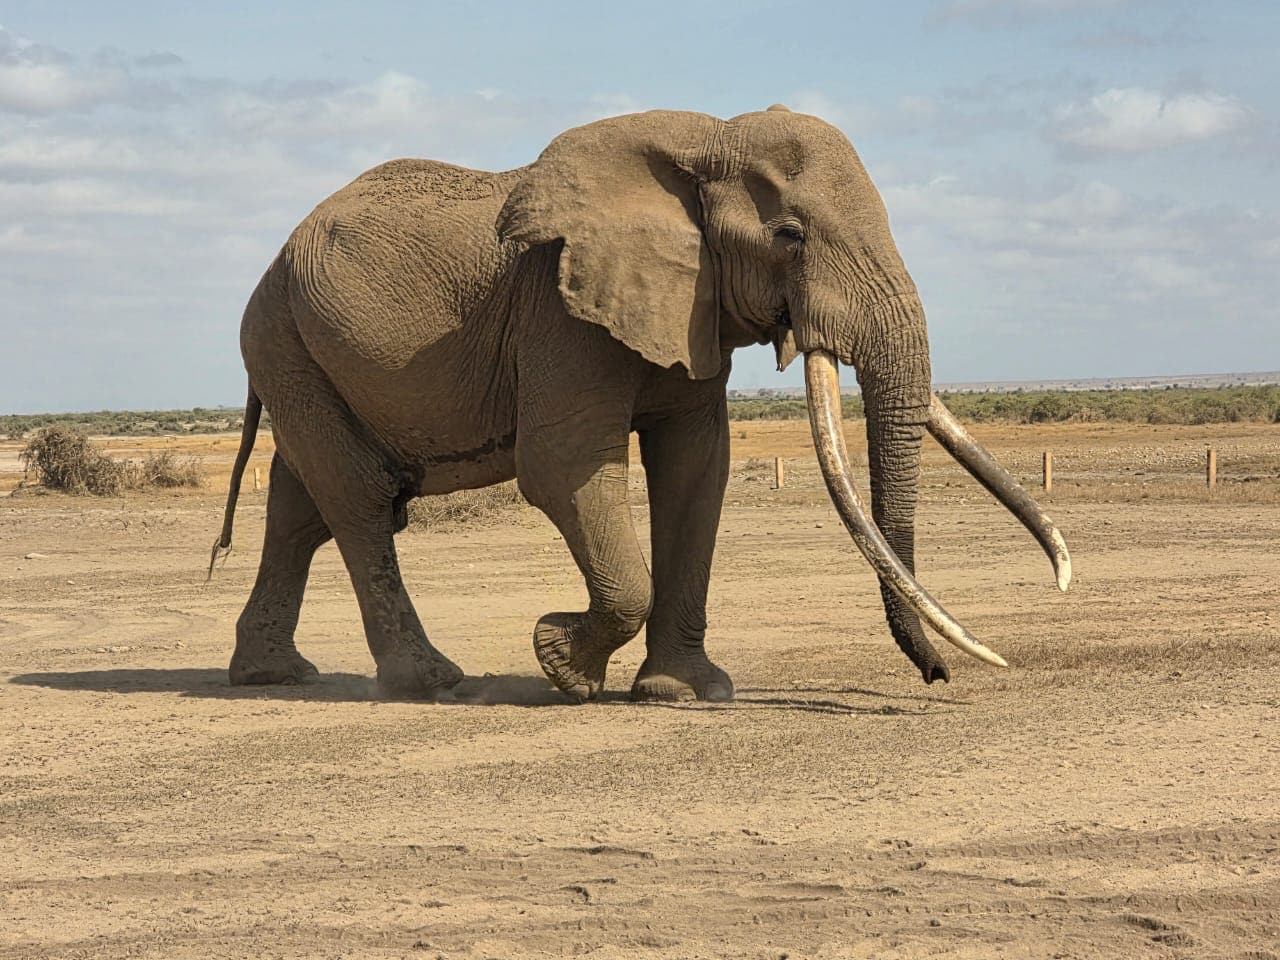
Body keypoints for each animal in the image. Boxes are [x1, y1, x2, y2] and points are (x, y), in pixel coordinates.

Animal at [210, 104, 1071, 702]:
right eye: (790, 234)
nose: (938, 679)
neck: (707, 139)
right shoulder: (558, 309)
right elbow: (562, 468)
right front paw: (561, 662)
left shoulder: (690, 307)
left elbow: (696, 468)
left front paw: (688, 693)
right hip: (281, 337)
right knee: (357, 500)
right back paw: (429, 682)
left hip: (299, 350)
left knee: (301, 506)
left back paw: (272, 675)